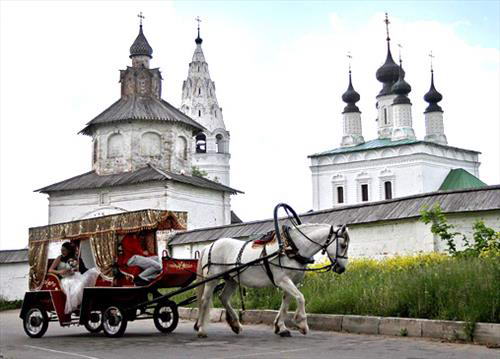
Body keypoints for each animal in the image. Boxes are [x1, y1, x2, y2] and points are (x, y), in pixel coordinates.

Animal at [193, 224, 350, 338]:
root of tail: (210, 245)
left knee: (223, 297)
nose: (341, 268)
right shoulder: (282, 280)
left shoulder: (292, 281)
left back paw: (236, 325)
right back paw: (201, 329)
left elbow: (286, 303)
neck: (291, 248)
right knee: (205, 299)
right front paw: (301, 323)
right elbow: (300, 297)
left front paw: (281, 327)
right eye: (343, 245)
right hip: (212, 279)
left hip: (232, 280)